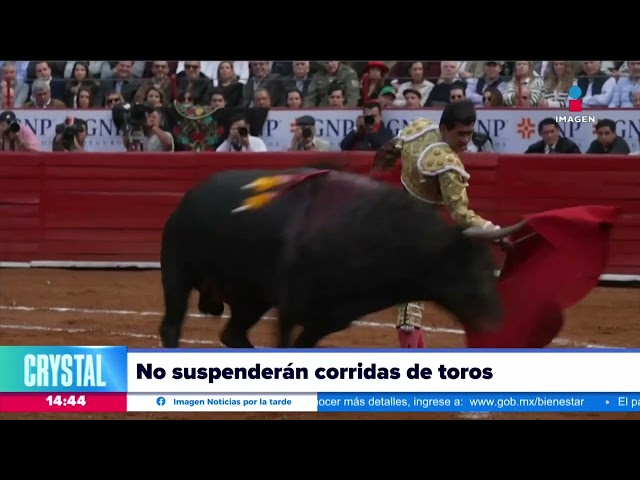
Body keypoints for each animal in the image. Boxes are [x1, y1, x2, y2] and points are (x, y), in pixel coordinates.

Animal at [160, 169, 524, 348]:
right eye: (470, 270)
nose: (496, 321)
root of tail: (189, 196)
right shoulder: (290, 307)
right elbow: (286, 345)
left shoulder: (328, 317)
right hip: (177, 273)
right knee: (172, 326)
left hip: (251, 298)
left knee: (233, 335)